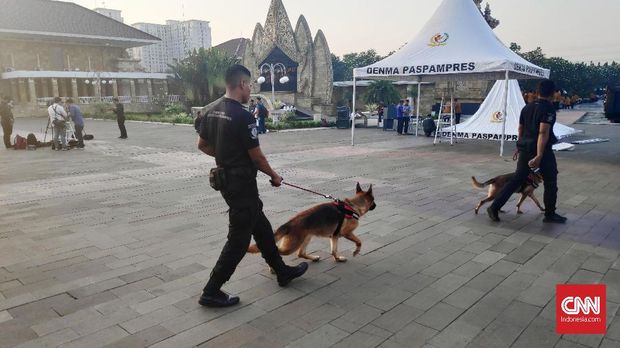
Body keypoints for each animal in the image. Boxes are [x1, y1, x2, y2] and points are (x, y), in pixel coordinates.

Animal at [248, 184, 376, 262]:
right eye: (373, 201)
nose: (376, 205)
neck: (353, 206)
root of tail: (289, 223)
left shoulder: (334, 237)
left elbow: (333, 251)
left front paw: (337, 259)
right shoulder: (347, 233)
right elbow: (359, 241)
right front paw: (356, 251)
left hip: (307, 237)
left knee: (300, 253)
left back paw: (313, 258)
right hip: (292, 246)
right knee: (277, 251)